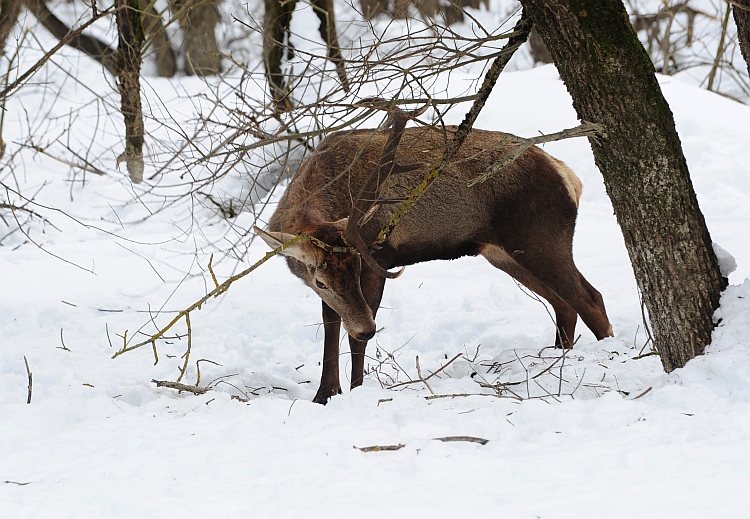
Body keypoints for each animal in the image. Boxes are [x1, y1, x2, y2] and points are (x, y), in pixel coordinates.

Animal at [256, 107, 612, 404]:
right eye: (320, 281)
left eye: (358, 267)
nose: (366, 328)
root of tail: (570, 178)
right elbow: (331, 325)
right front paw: (325, 394)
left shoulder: (380, 259)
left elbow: (355, 338)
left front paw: (356, 390)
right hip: (504, 253)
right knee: (564, 304)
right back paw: (558, 357)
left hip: (541, 238)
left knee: (590, 297)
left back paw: (608, 355)